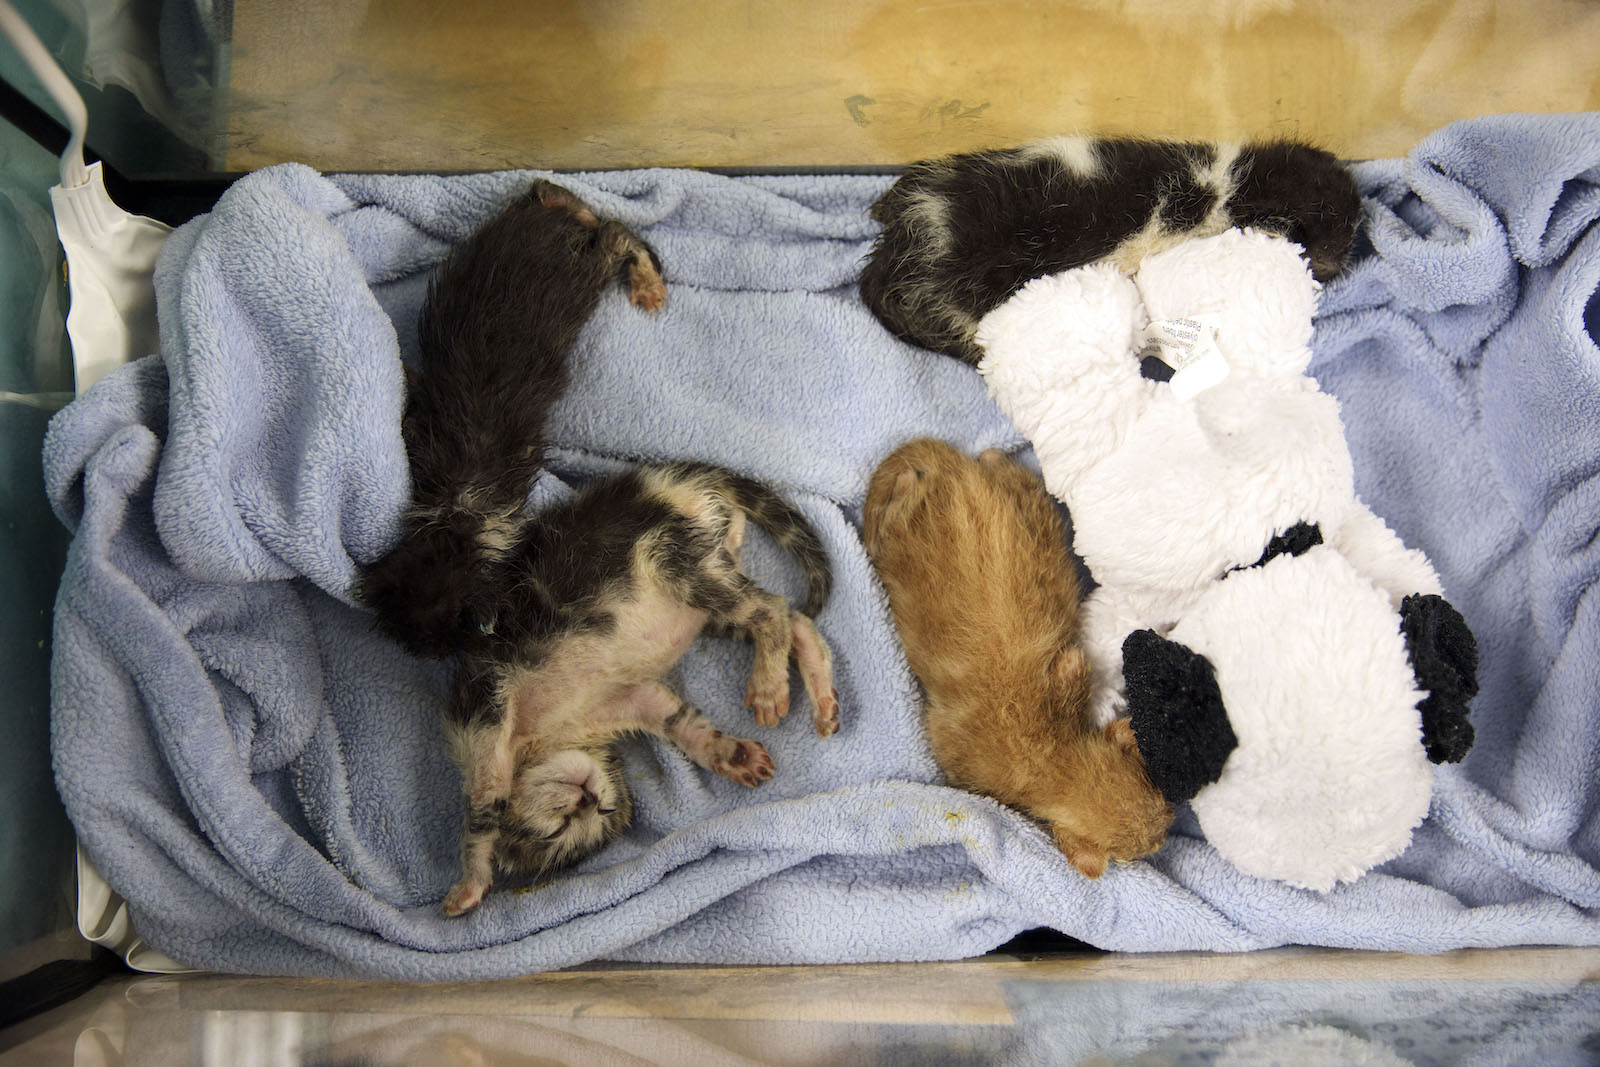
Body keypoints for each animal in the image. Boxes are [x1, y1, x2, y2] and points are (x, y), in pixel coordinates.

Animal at [438, 460, 838, 921]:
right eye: (566, 828)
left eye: (590, 813)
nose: (587, 798)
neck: (545, 739)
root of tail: (661, 482)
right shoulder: (630, 700)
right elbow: (685, 724)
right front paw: (735, 756)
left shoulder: (484, 706)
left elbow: (483, 808)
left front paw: (469, 885)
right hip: (712, 584)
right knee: (795, 618)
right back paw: (822, 699)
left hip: (669, 557)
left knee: (770, 609)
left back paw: (769, 687)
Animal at [864, 441, 1177, 876]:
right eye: (1139, 853)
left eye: (1160, 798)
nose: (1169, 826)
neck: (1044, 755)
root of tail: (955, 471)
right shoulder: (961, 762)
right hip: (903, 535)